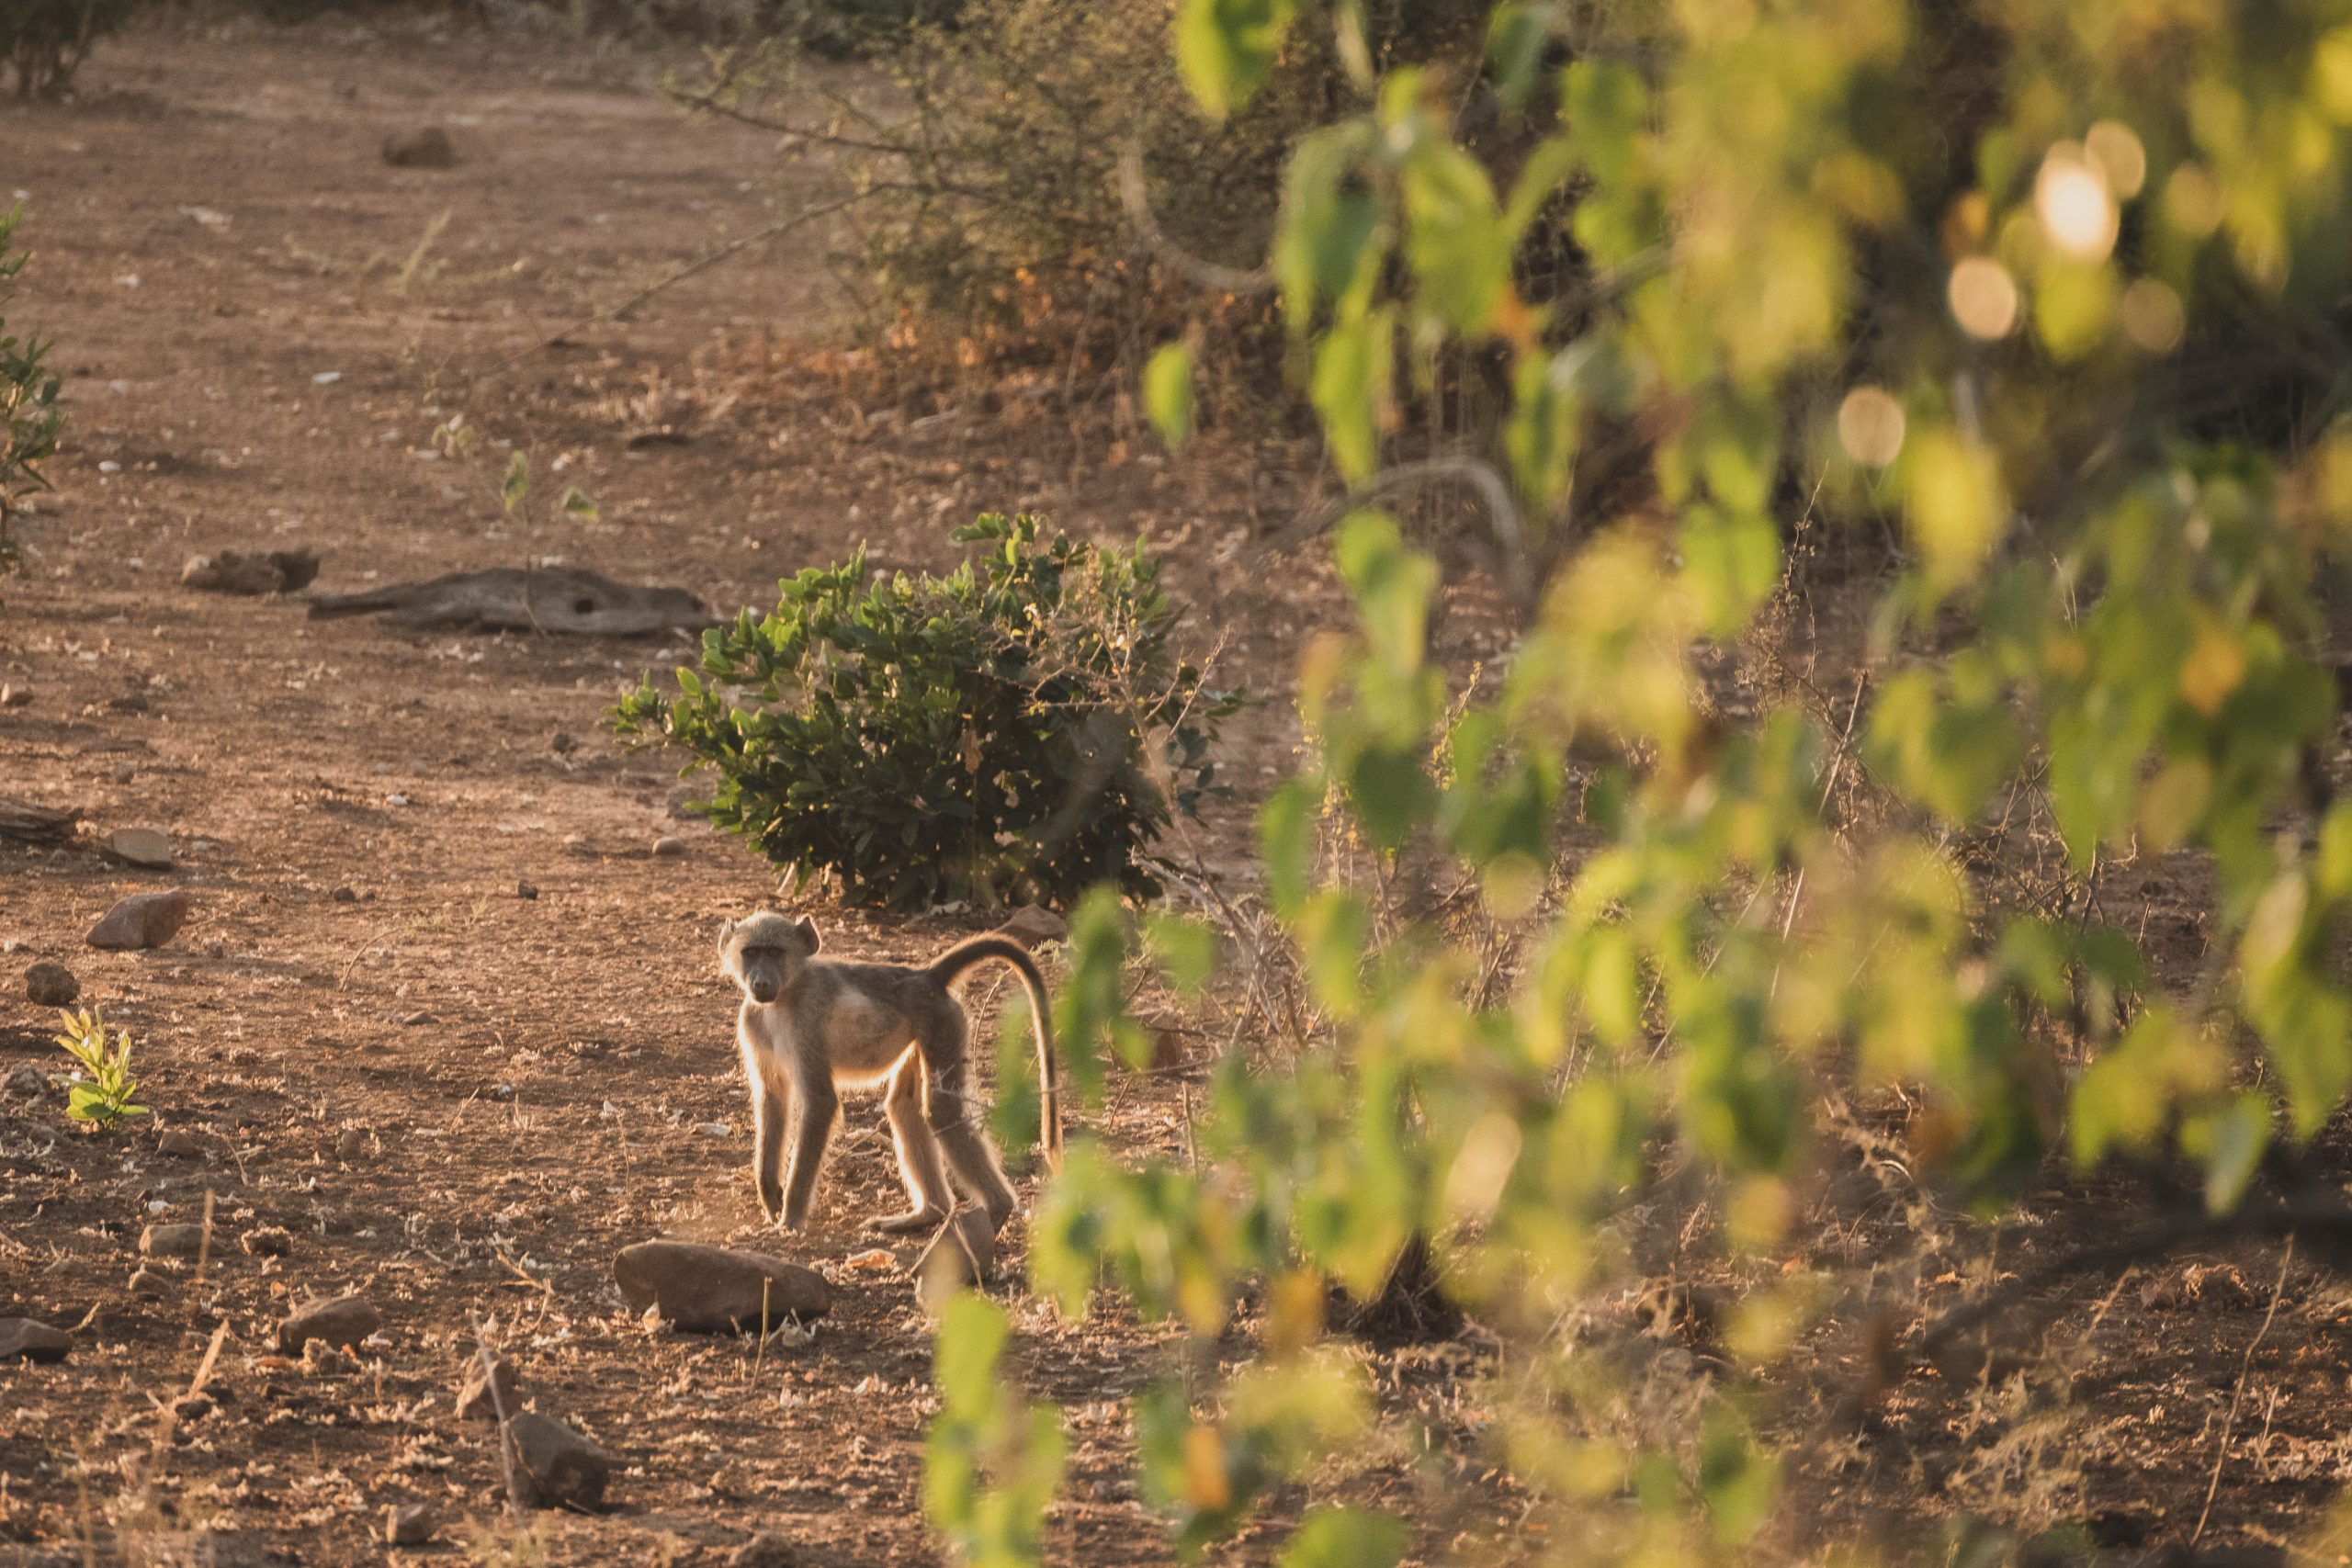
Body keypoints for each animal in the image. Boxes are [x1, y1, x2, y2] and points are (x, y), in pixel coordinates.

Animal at [718, 910, 1062, 1236]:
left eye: (775, 952)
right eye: (751, 953)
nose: (761, 983)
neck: (783, 998)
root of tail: (927, 977)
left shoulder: (806, 1023)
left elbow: (820, 1103)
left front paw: (790, 1219)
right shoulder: (752, 1022)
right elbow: (772, 1100)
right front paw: (769, 1195)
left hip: (942, 1021)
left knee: (941, 1111)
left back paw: (996, 1212)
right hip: (923, 1031)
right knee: (904, 1106)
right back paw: (929, 1214)